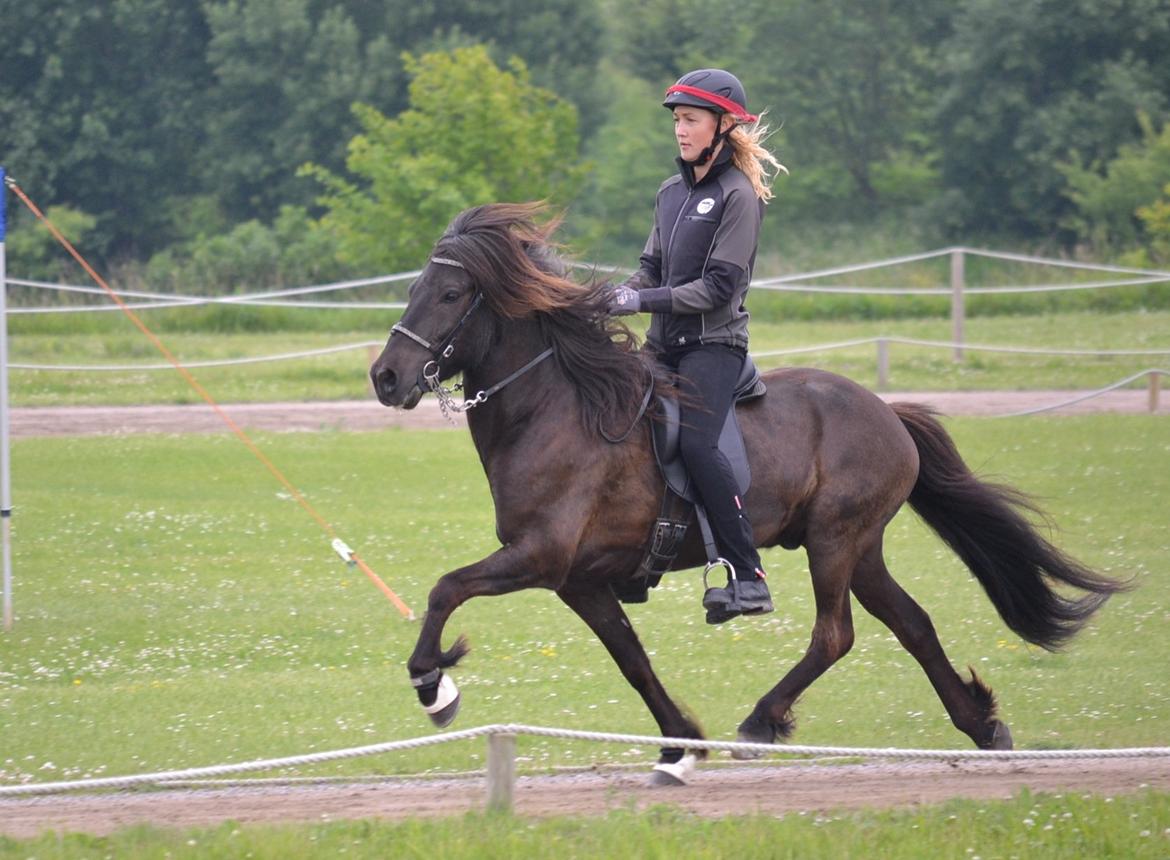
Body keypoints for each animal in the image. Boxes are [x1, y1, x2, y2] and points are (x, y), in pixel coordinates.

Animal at [372, 203, 1123, 786]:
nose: (385, 377)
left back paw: (761, 721)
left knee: (834, 634)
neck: (557, 407)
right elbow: (633, 662)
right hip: (861, 549)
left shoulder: (540, 556)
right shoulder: (580, 580)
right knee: (913, 624)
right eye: (413, 287)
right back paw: (982, 727)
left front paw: (433, 685)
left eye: (448, 296)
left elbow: (444, 588)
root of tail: (885, 411)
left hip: (834, 540)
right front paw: (677, 747)